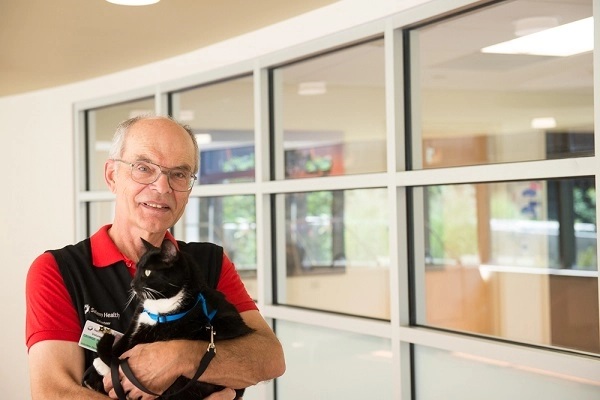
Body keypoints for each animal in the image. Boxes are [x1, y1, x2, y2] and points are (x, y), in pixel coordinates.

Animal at [82, 239, 253, 398]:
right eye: (137, 269)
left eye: (148, 272)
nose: (132, 284)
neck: (160, 305)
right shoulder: (136, 323)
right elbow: (121, 344)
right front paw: (95, 376)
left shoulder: (150, 335)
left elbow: (124, 354)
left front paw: (103, 367)